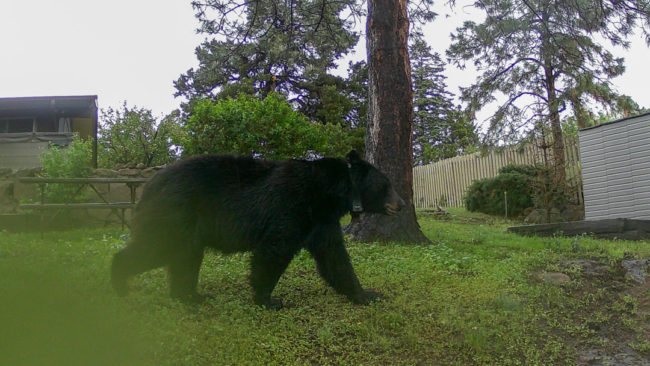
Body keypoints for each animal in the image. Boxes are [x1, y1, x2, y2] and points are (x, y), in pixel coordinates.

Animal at [114, 150, 402, 308]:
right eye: (387, 184)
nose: (400, 204)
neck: (328, 193)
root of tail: (149, 185)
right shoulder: (291, 206)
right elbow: (275, 250)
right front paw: (268, 299)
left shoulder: (322, 220)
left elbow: (334, 257)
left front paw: (366, 294)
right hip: (175, 212)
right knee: (156, 248)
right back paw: (120, 284)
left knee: (185, 258)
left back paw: (191, 296)